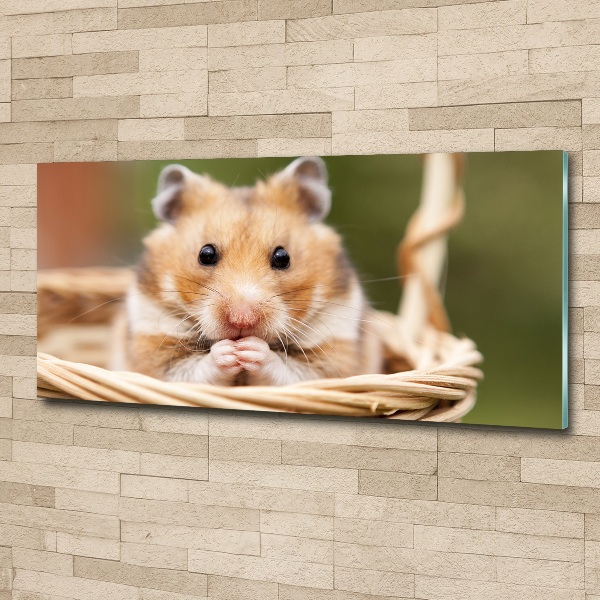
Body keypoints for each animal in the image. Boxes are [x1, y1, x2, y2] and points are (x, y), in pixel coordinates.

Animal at [124, 157, 382, 386]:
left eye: (283, 257)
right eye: (205, 254)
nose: (242, 319)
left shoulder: (332, 355)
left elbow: (289, 371)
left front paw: (250, 349)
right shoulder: (153, 348)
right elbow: (190, 370)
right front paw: (229, 351)